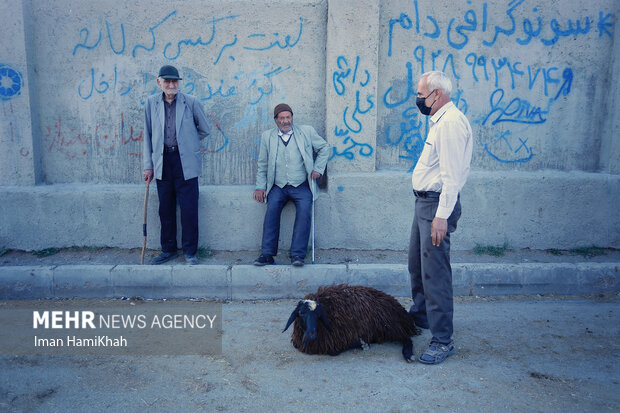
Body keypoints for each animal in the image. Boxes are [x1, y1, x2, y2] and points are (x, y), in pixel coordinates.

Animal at [282, 284, 418, 360]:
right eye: (301, 313)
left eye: (319, 315)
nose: (311, 334)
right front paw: (362, 343)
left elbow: (334, 351)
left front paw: (361, 343)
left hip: (389, 324)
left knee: (406, 338)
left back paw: (408, 354)